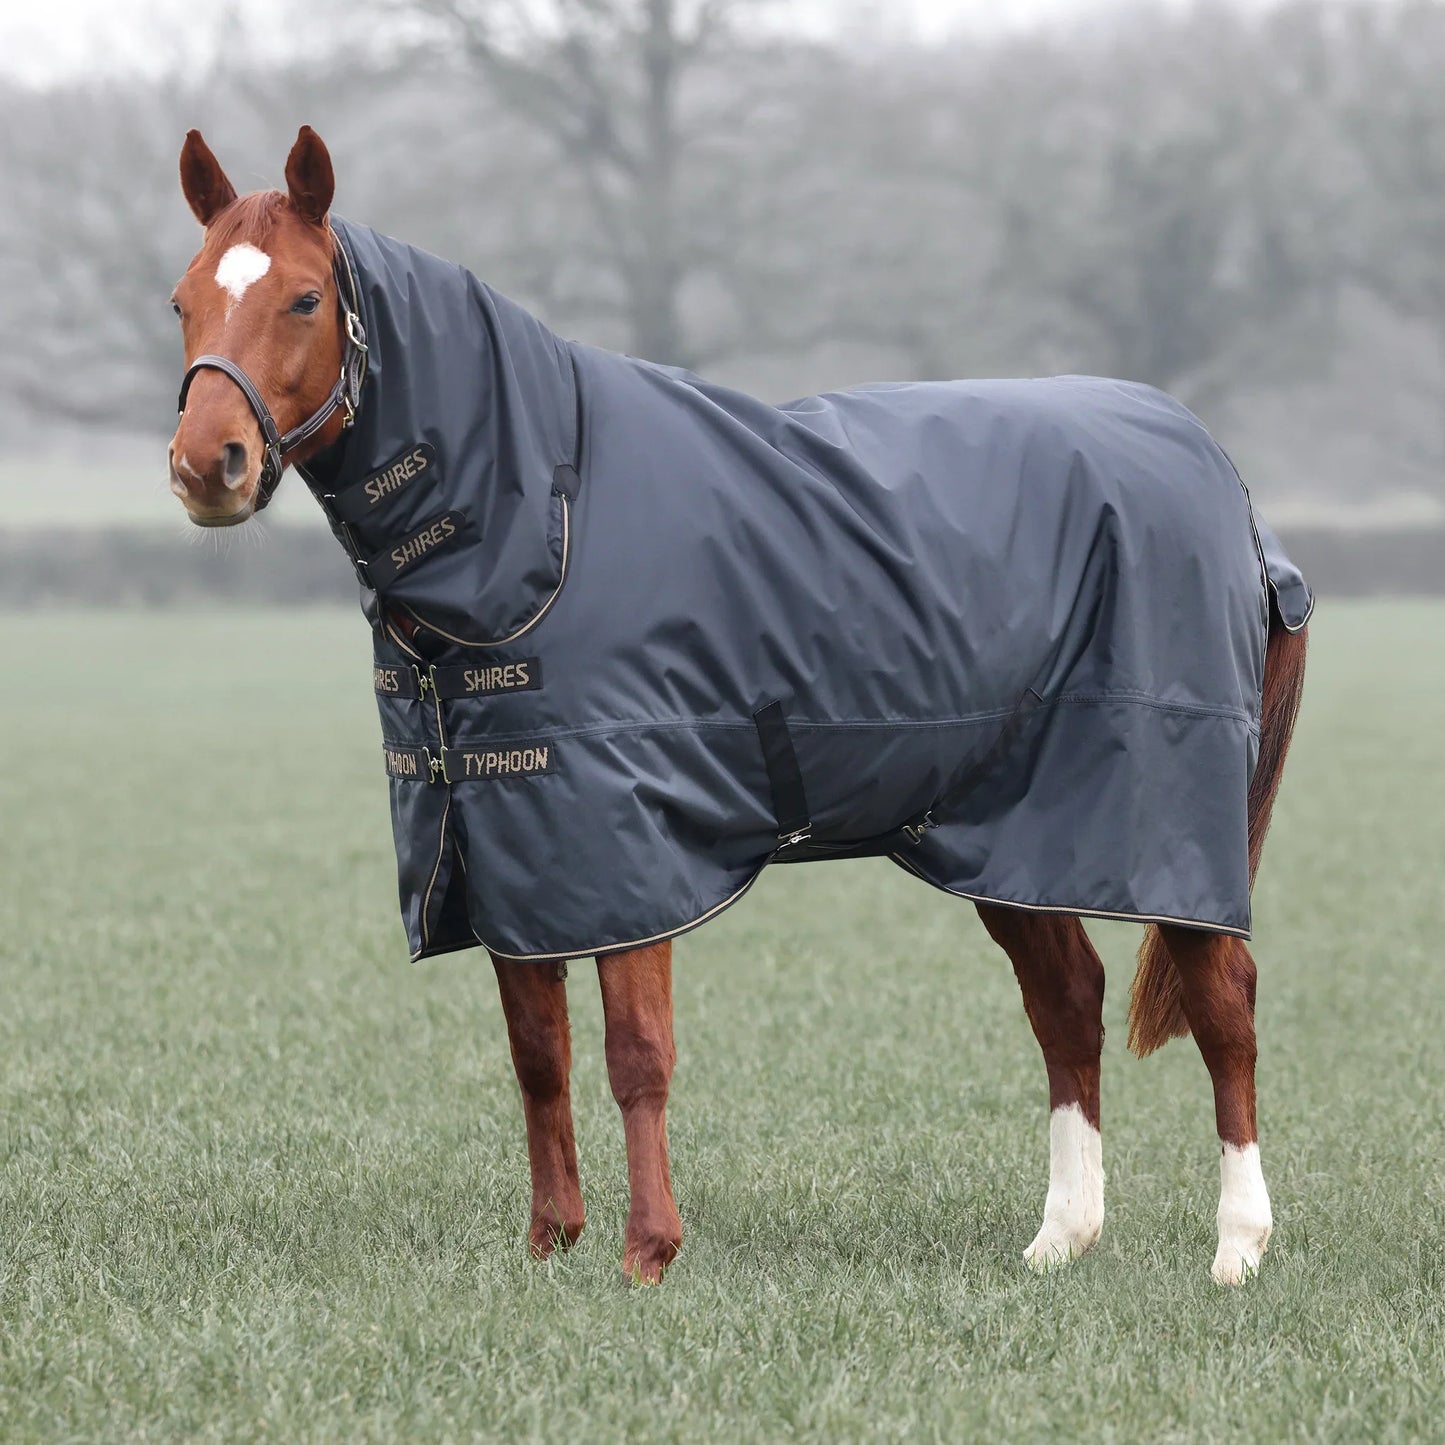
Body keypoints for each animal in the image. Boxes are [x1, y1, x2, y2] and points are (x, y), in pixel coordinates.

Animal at [168, 125, 1309, 1286]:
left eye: (305, 297)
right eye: (183, 300)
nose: (207, 464)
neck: (545, 514)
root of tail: (1221, 477)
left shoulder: (625, 848)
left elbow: (635, 1053)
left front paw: (647, 1253)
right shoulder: (508, 843)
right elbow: (538, 1055)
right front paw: (549, 1244)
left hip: (1162, 824)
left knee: (1224, 1001)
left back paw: (1237, 1247)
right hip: (1014, 834)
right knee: (1066, 1000)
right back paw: (1058, 1237)